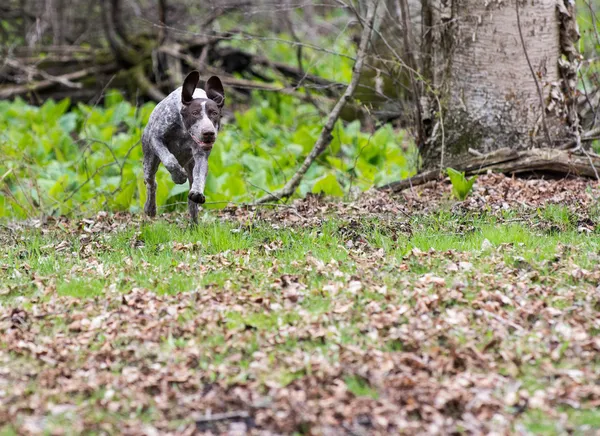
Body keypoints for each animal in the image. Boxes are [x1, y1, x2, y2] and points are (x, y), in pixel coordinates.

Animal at [142, 72, 225, 223]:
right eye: (195, 113)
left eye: (214, 113)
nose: (208, 133)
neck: (183, 128)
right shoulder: (156, 139)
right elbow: (169, 160)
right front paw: (178, 176)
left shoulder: (201, 156)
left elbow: (199, 176)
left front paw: (197, 192)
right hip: (149, 161)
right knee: (151, 183)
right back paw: (150, 208)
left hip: (190, 165)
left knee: (192, 203)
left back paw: (194, 224)